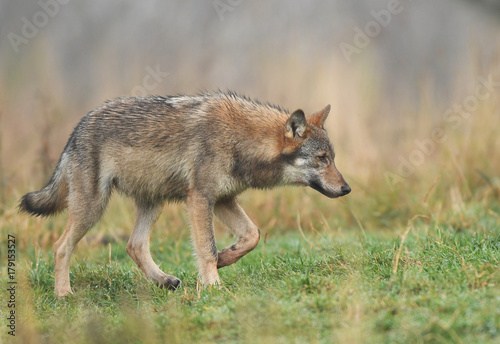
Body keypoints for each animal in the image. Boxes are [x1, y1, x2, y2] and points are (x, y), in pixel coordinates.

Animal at [17, 92, 350, 296]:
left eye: (333, 158)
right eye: (322, 159)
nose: (346, 188)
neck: (242, 141)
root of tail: (76, 130)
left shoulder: (223, 199)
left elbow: (252, 235)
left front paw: (225, 258)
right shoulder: (201, 198)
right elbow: (206, 249)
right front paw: (214, 287)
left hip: (153, 203)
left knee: (134, 245)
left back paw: (164, 281)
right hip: (93, 209)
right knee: (61, 246)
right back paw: (63, 294)